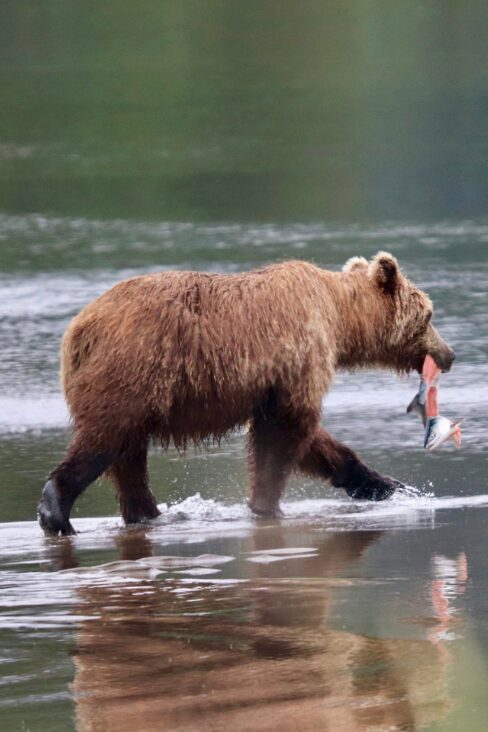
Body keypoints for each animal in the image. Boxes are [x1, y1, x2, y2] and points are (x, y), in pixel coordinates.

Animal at [38, 251, 455, 535]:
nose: (449, 354)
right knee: (106, 438)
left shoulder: (272, 384)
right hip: (132, 371)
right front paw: (265, 503)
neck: (339, 318)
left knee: (129, 456)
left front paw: (389, 485)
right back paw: (56, 510)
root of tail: (78, 329)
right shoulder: (298, 356)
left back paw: (149, 513)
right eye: (429, 315)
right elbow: (287, 431)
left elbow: (311, 441)